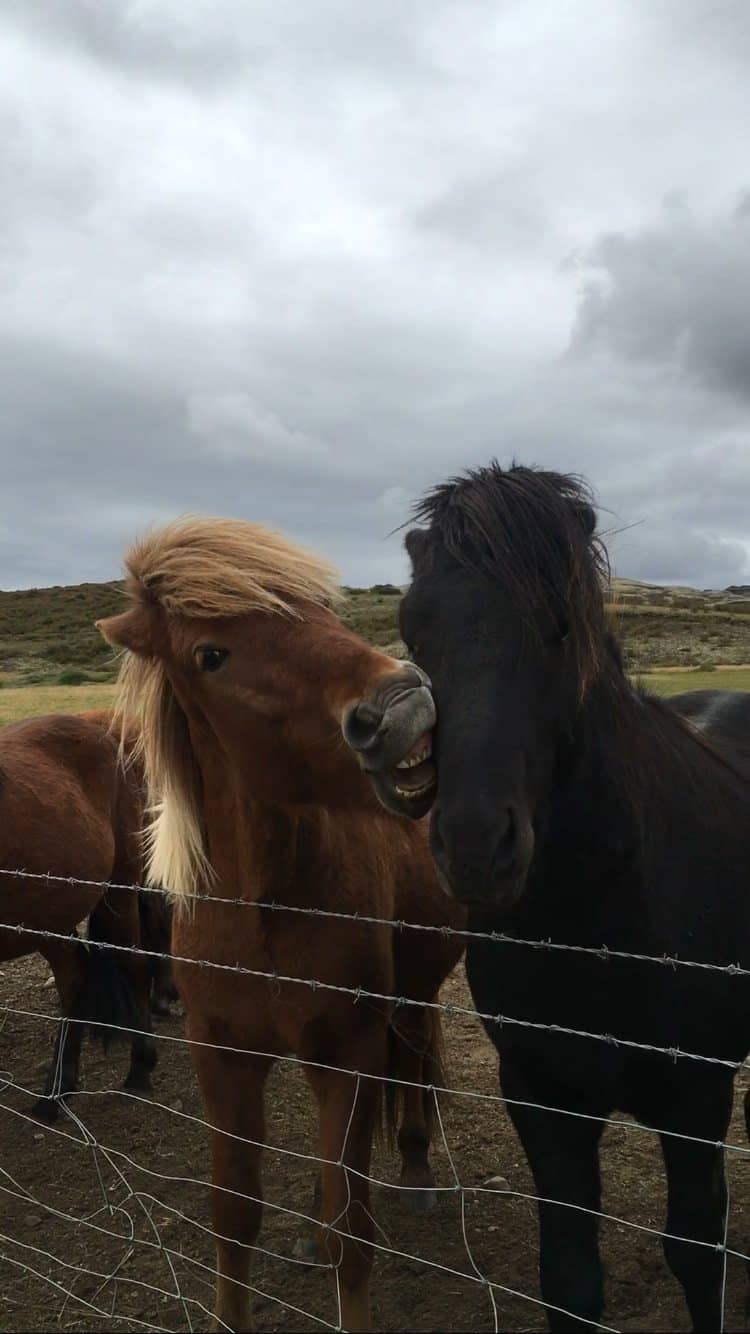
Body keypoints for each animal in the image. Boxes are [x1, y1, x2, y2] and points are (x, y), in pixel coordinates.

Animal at [0, 709, 156, 1115]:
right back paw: (60, 1087)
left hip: (119, 892)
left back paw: (140, 1068)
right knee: (74, 976)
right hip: (50, 916)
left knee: (133, 966)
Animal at [99, 517, 461, 1334]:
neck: (263, 909)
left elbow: (352, 1233)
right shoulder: (223, 1055)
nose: (404, 707)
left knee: (415, 1051)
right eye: (211, 654)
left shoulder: (348, 1052)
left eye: (321, 607)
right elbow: (235, 1216)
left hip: (412, 994)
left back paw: (416, 1160)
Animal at [346, 461, 747, 1334]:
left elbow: (697, 1254)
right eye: (416, 633)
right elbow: (569, 1280)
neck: (600, 917)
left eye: (561, 627)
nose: (474, 849)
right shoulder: (542, 1098)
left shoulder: (696, 1097)